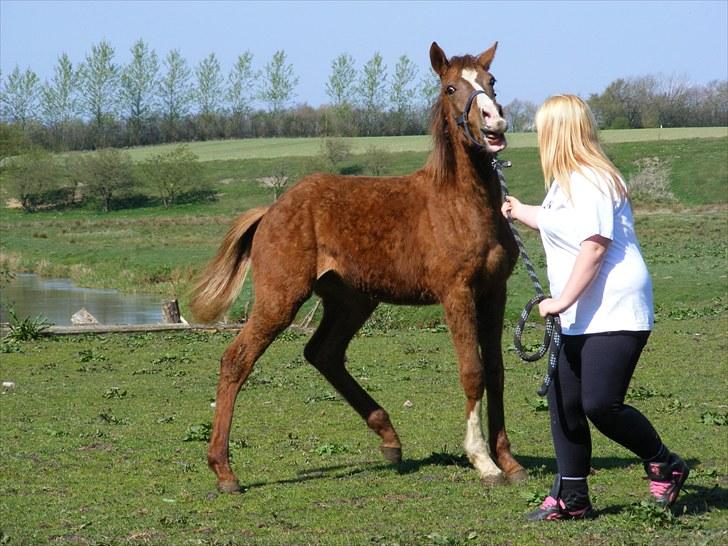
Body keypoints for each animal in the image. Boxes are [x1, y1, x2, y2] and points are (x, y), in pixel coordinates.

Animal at [191, 40, 528, 490]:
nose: (494, 122)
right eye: (451, 88)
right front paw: (484, 462)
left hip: (352, 301)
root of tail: (272, 210)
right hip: (281, 298)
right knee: (236, 360)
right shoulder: (457, 292)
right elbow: (472, 372)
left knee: (324, 353)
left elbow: (496, 371)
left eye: (491, 81)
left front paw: (508, 460)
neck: (462, 204)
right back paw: (224, 470)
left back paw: (389, 438)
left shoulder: (495, 291)